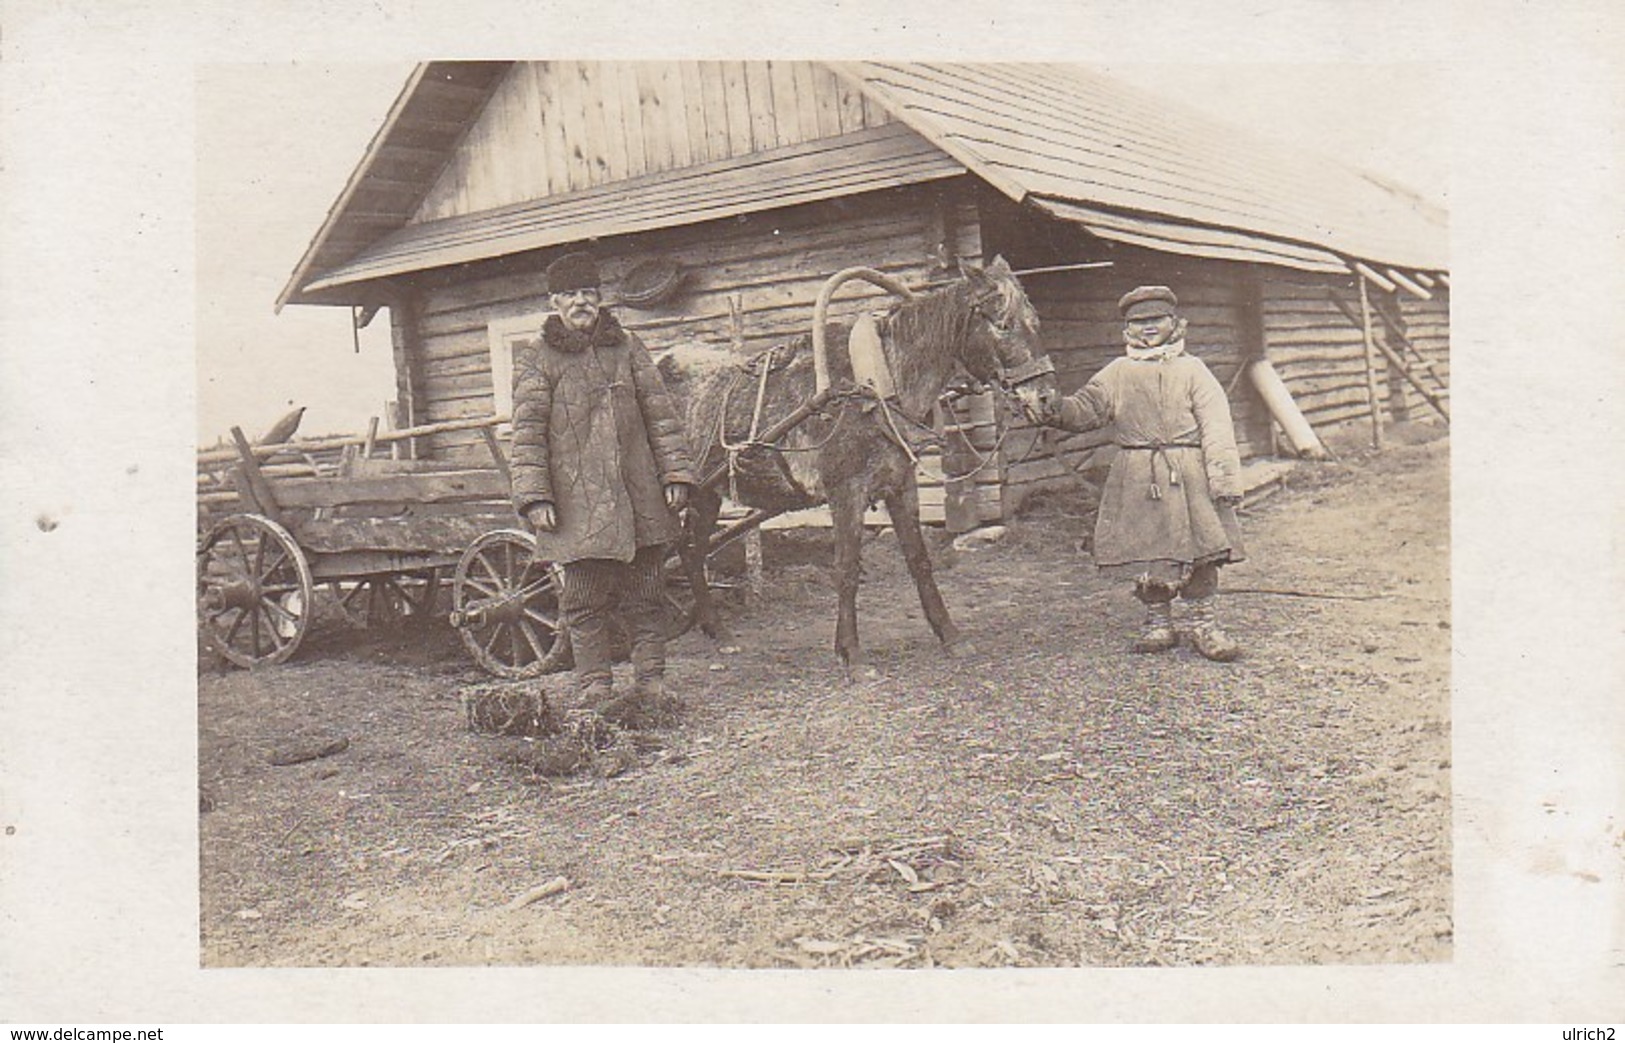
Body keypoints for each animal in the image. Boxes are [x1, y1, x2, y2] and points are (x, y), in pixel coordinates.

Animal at [659, 256, 1053, 669]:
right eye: (1003, 324)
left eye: (1035, 321)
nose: (1045, 399)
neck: (876, 386)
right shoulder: (845, 491)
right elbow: (846, 568)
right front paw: (850, 651)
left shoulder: (900, 484)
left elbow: (919, 560)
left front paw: (950, 635)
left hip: (705, 492)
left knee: (691, 551)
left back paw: (716, 629)